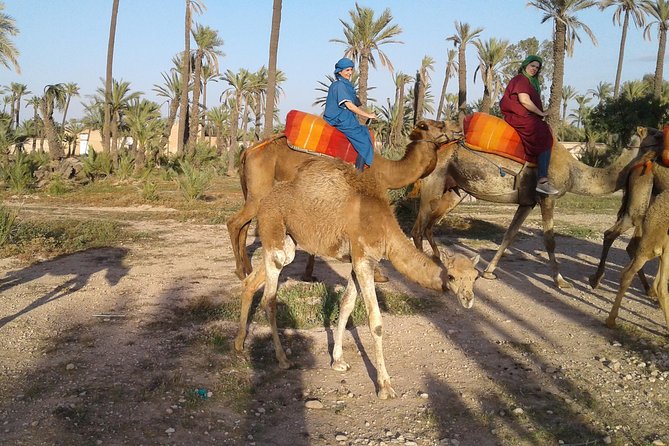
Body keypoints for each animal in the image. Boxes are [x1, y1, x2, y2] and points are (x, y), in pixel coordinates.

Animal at [232, 158, 478, 400]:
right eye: (452, 277)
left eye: (475, 277)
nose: (468, 299)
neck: (384, 227)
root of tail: (265, 201)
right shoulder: (363, 259)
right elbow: (375, 321)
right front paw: (385, 386)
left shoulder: (358, 260)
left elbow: (346, 305)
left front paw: (338, 361)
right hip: (273, 231)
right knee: (269, 300)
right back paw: (283, 359)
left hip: (289, 243)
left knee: (251, 282)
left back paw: (239, 343)